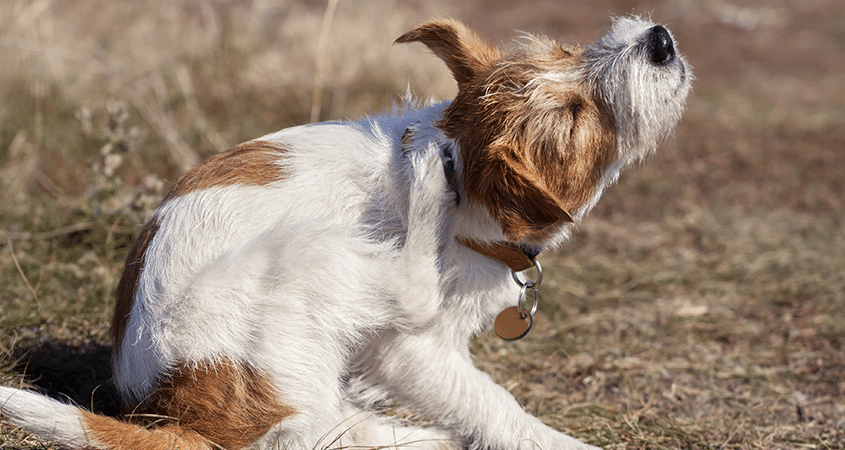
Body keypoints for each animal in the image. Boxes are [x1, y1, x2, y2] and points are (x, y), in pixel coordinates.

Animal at [1, 15, 692, 450]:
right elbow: (493, 404)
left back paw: (418, 437)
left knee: (323, 430)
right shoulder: (413, 351)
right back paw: (422, 189)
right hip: (309, 254)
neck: (466, 177)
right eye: (575, 116)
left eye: (566, 53)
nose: (658, 40)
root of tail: (179, 412)